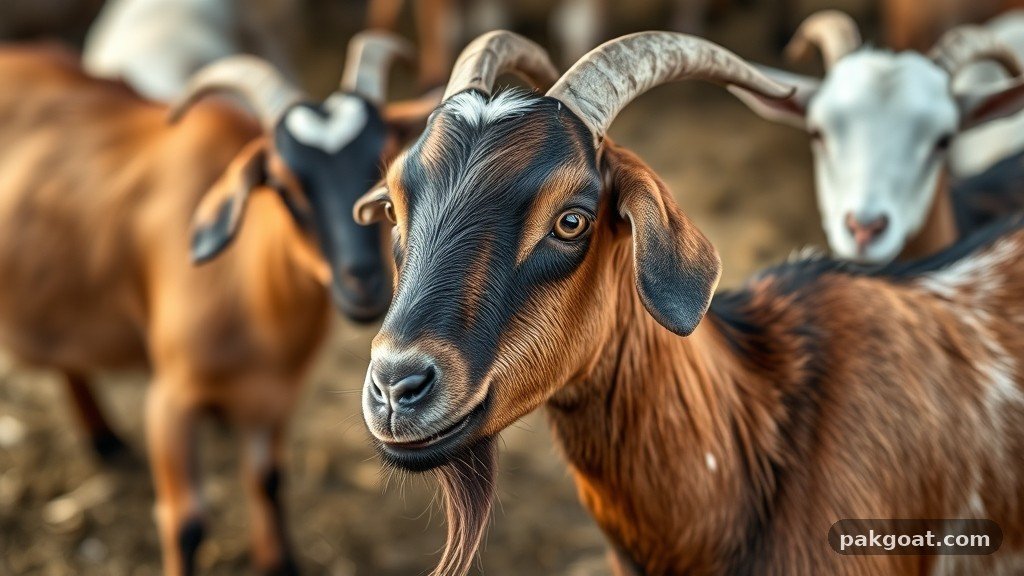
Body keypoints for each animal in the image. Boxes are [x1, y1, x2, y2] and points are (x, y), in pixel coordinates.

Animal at [0, 33, 418, 575]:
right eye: (282, 187)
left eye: (388, 175)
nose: (364, 285)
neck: (251, 291)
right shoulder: (170, 401)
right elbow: (187, 523)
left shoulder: (273, 396)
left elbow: (269, 481)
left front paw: (279, 561)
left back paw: (104, 437)